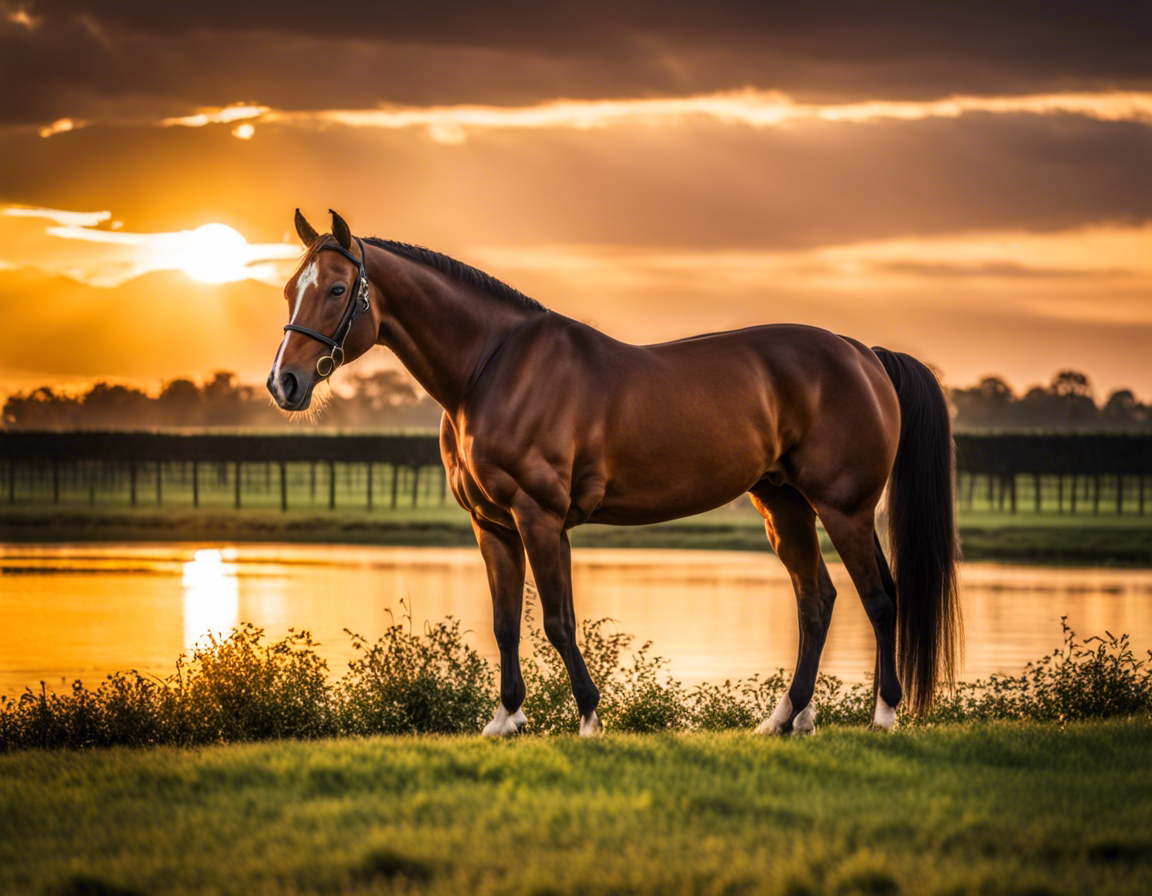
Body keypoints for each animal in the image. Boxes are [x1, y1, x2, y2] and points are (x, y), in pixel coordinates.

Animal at [268, 209, 961, 736]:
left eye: (336, 290)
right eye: (288, 289)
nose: (285, 383)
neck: (491, 370)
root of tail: (862, 353)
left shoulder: (539, 517)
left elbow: (557, 620)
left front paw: (589, 720)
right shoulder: (493, 526)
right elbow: (504, 622)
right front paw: (505, 720)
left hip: (844, 508)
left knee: (879, 598)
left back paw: (883, 717)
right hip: (784, 505)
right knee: (816, 602)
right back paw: (786, 720)